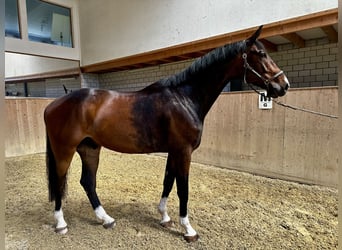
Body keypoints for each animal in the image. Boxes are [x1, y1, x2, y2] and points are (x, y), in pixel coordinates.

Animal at [42, 26, 288, 243]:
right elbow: (183, 189)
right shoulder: (184, 151)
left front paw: (165, 217)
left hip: (90, 148)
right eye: (261, 54)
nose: (283, 84)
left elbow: (168, 182)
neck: (184, 98)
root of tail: (53, 105)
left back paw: (106, 219)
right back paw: (61, 223)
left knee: (88, 182)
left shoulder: (174, 151)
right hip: (65, 150)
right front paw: (188, 229)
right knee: (60, 180)